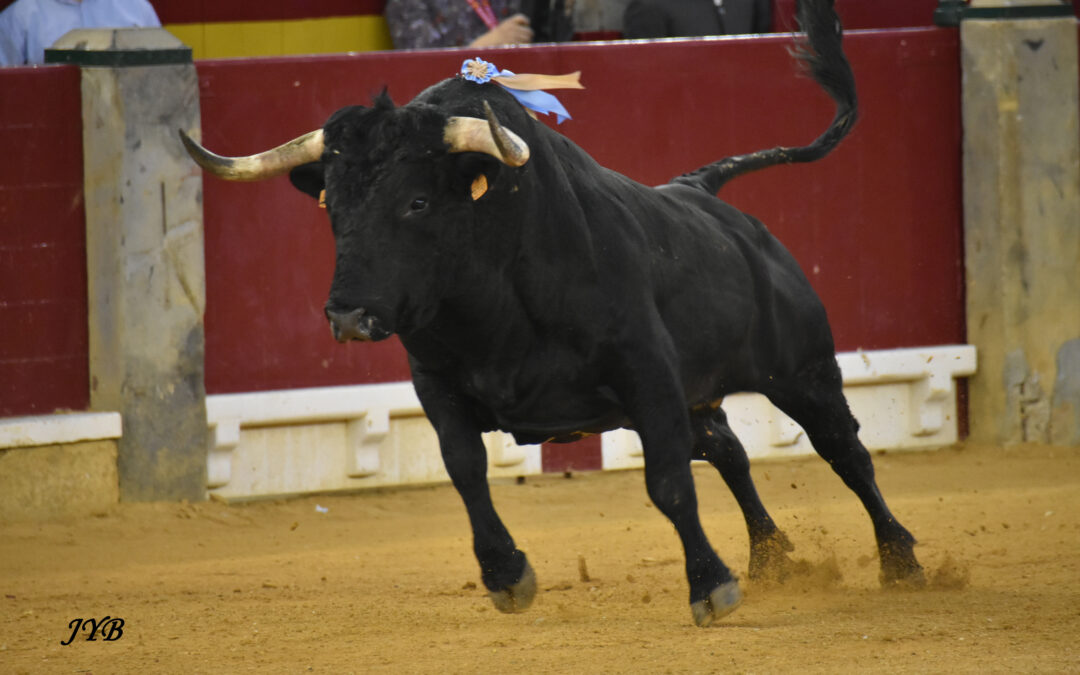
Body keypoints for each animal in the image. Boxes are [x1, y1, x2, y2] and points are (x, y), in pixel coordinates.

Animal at [181, 0, 924, 622]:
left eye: (416, 202)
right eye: (332, 206)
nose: (348, 317)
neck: (492, 300)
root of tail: (704, 191)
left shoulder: (646, 375)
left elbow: (667, 483)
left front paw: (710, 586)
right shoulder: (437, 383)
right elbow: (466, 471)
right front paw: (507, 575)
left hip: (803, 371)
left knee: (845, 452)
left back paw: (901, 561)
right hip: (702, 394)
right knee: (731, 452)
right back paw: (774, 558)